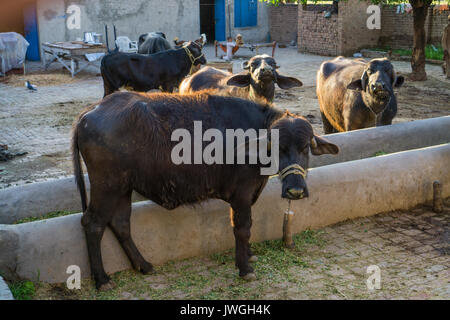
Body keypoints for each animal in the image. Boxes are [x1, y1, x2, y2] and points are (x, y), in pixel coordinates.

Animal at [72, 90, 338, 290]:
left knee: (120, 223)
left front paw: (249, 254)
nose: (295, 191)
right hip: (107, 186)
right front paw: (245, 268)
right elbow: (242, 228)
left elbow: (247, 229)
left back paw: (144, 265)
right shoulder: (241, 195)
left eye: (305, 148)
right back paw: (102, 280)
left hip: (123, 188)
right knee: (93, 223)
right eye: (279, 148)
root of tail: (91, 112)